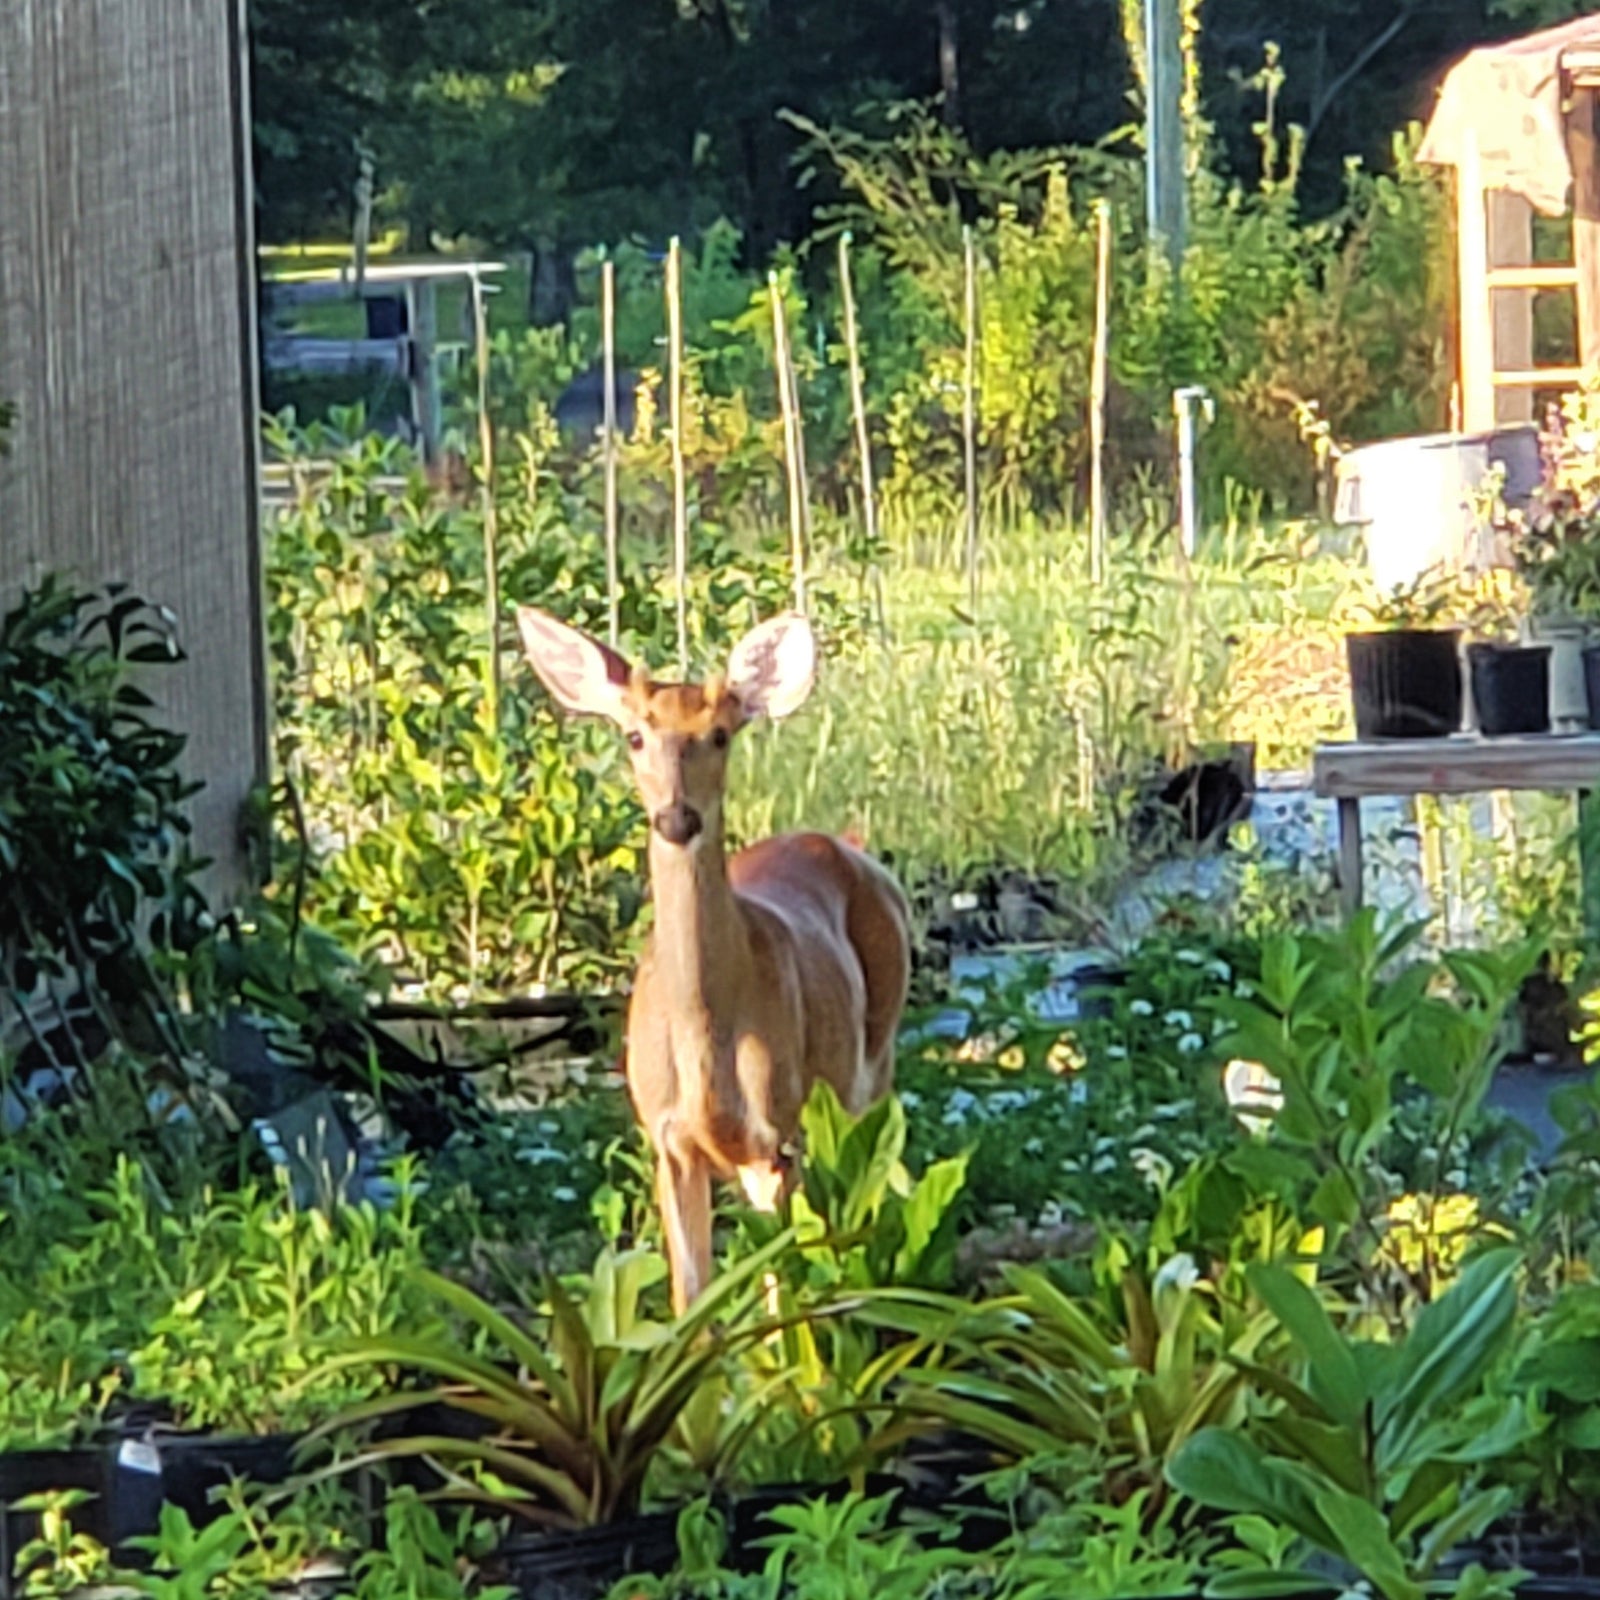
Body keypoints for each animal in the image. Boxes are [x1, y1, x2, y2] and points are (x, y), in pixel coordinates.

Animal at [516, 606, 911, 1313]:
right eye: (635, 736)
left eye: (721, 735)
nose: (677, 819)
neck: (708, 1044)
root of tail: (846, 844)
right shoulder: (667, 1137)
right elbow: (691, 1299)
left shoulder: (779, 1135)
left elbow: (786, 1296)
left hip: (869, 1073)